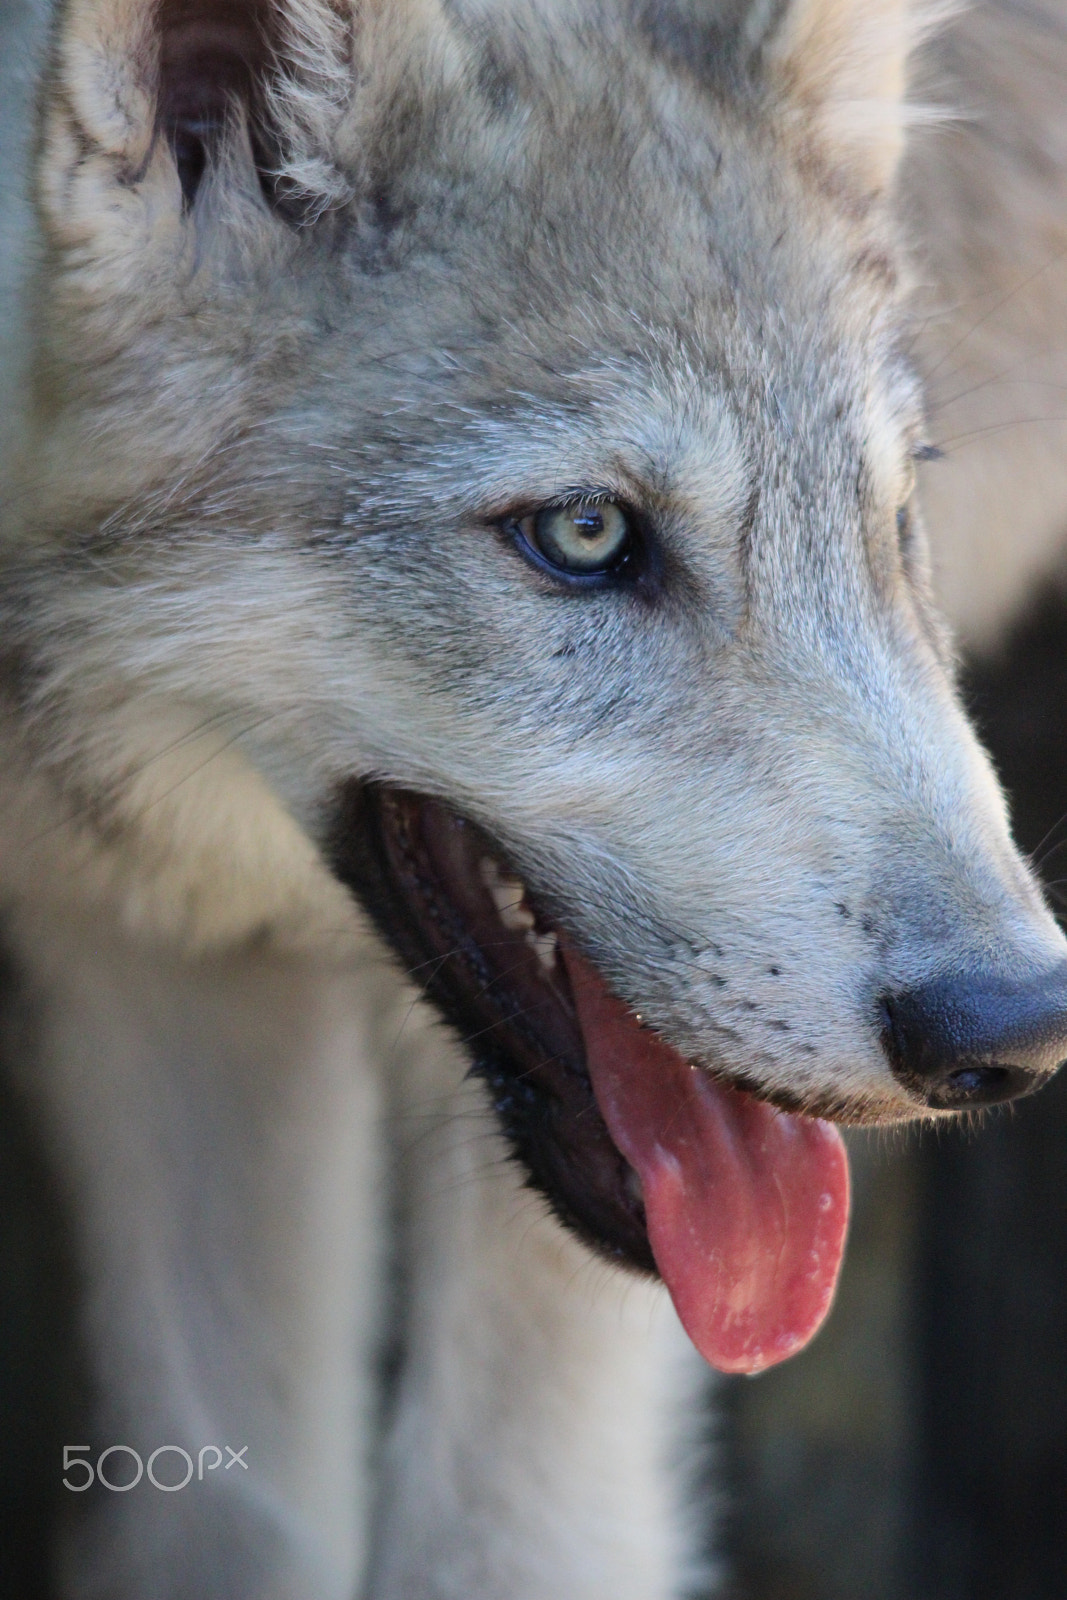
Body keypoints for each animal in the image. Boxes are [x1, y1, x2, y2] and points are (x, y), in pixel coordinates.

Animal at [2, 0, 1067, 1595]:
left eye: (890, 521)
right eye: (581, 535)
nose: (1011, 1029)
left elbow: (502, 1538)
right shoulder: (150, 958)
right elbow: (230, 1514)